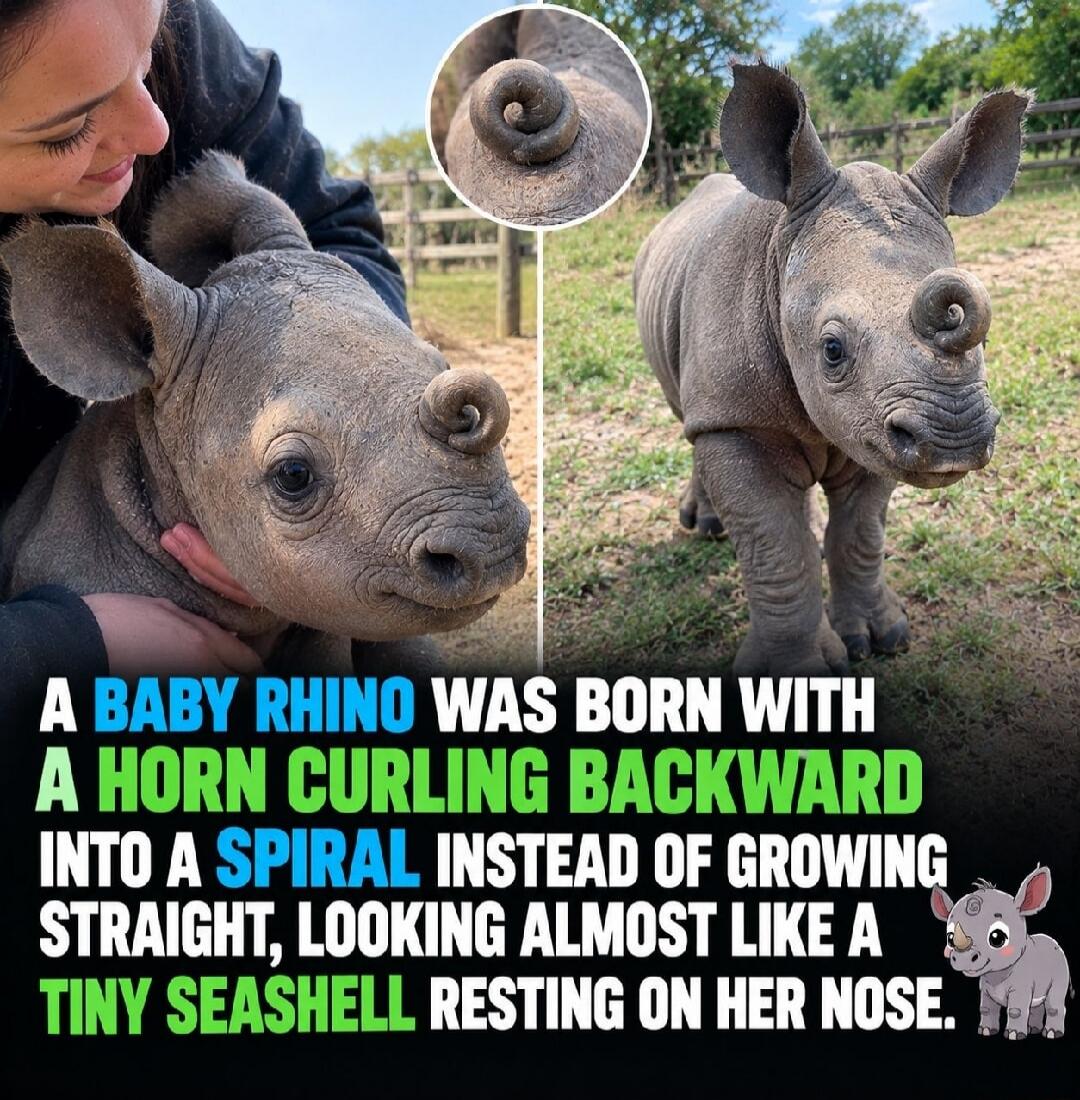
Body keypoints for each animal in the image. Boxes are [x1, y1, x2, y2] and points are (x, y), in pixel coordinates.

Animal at [635, 61, 1029, 675]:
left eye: (984, 335)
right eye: (833, 350)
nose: (954, 438)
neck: (778, 257)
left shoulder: (878, 426)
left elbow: (861, 532)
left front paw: (879, 638)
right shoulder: (739, 417)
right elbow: (774, 544)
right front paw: (791, 673)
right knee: (690, 417)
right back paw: (704, 525)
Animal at [931, 866, 1072, 1039]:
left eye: (997, 938)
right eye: (950, 938)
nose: (963, 958)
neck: (996, 974)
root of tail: (1056, 944)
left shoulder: (1021, 986)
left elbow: (1016, 1010)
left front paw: (1013, 1035)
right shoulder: (986, 987)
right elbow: (986, 1009)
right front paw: (986, 1031)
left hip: (1061, 967)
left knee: (1054, 1000)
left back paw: (1051, 1033)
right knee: (1036, 1004)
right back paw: (1033, 1029)